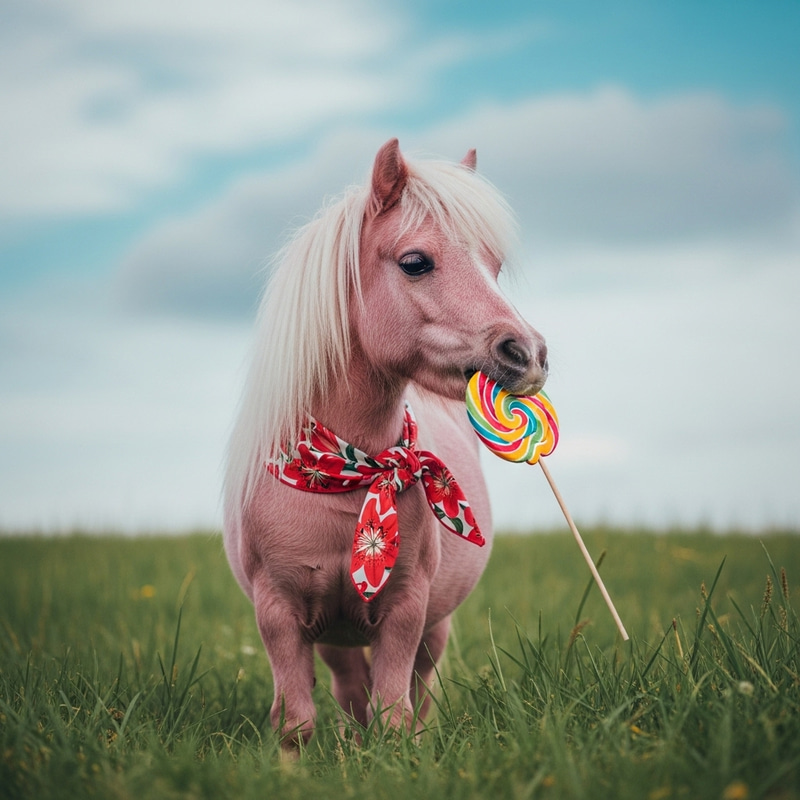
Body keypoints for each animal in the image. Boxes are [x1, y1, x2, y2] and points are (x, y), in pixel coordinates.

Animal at [223, 138, 548, 750]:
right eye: (415, 262)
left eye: (493, 266)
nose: (529, 355)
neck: (348, 474)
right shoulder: (279, 616)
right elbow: (297, 722)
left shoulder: (405, 611)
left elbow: (395, 715)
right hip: (334, 636)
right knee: (351, 690)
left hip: (433, 627)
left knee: (415, 694)